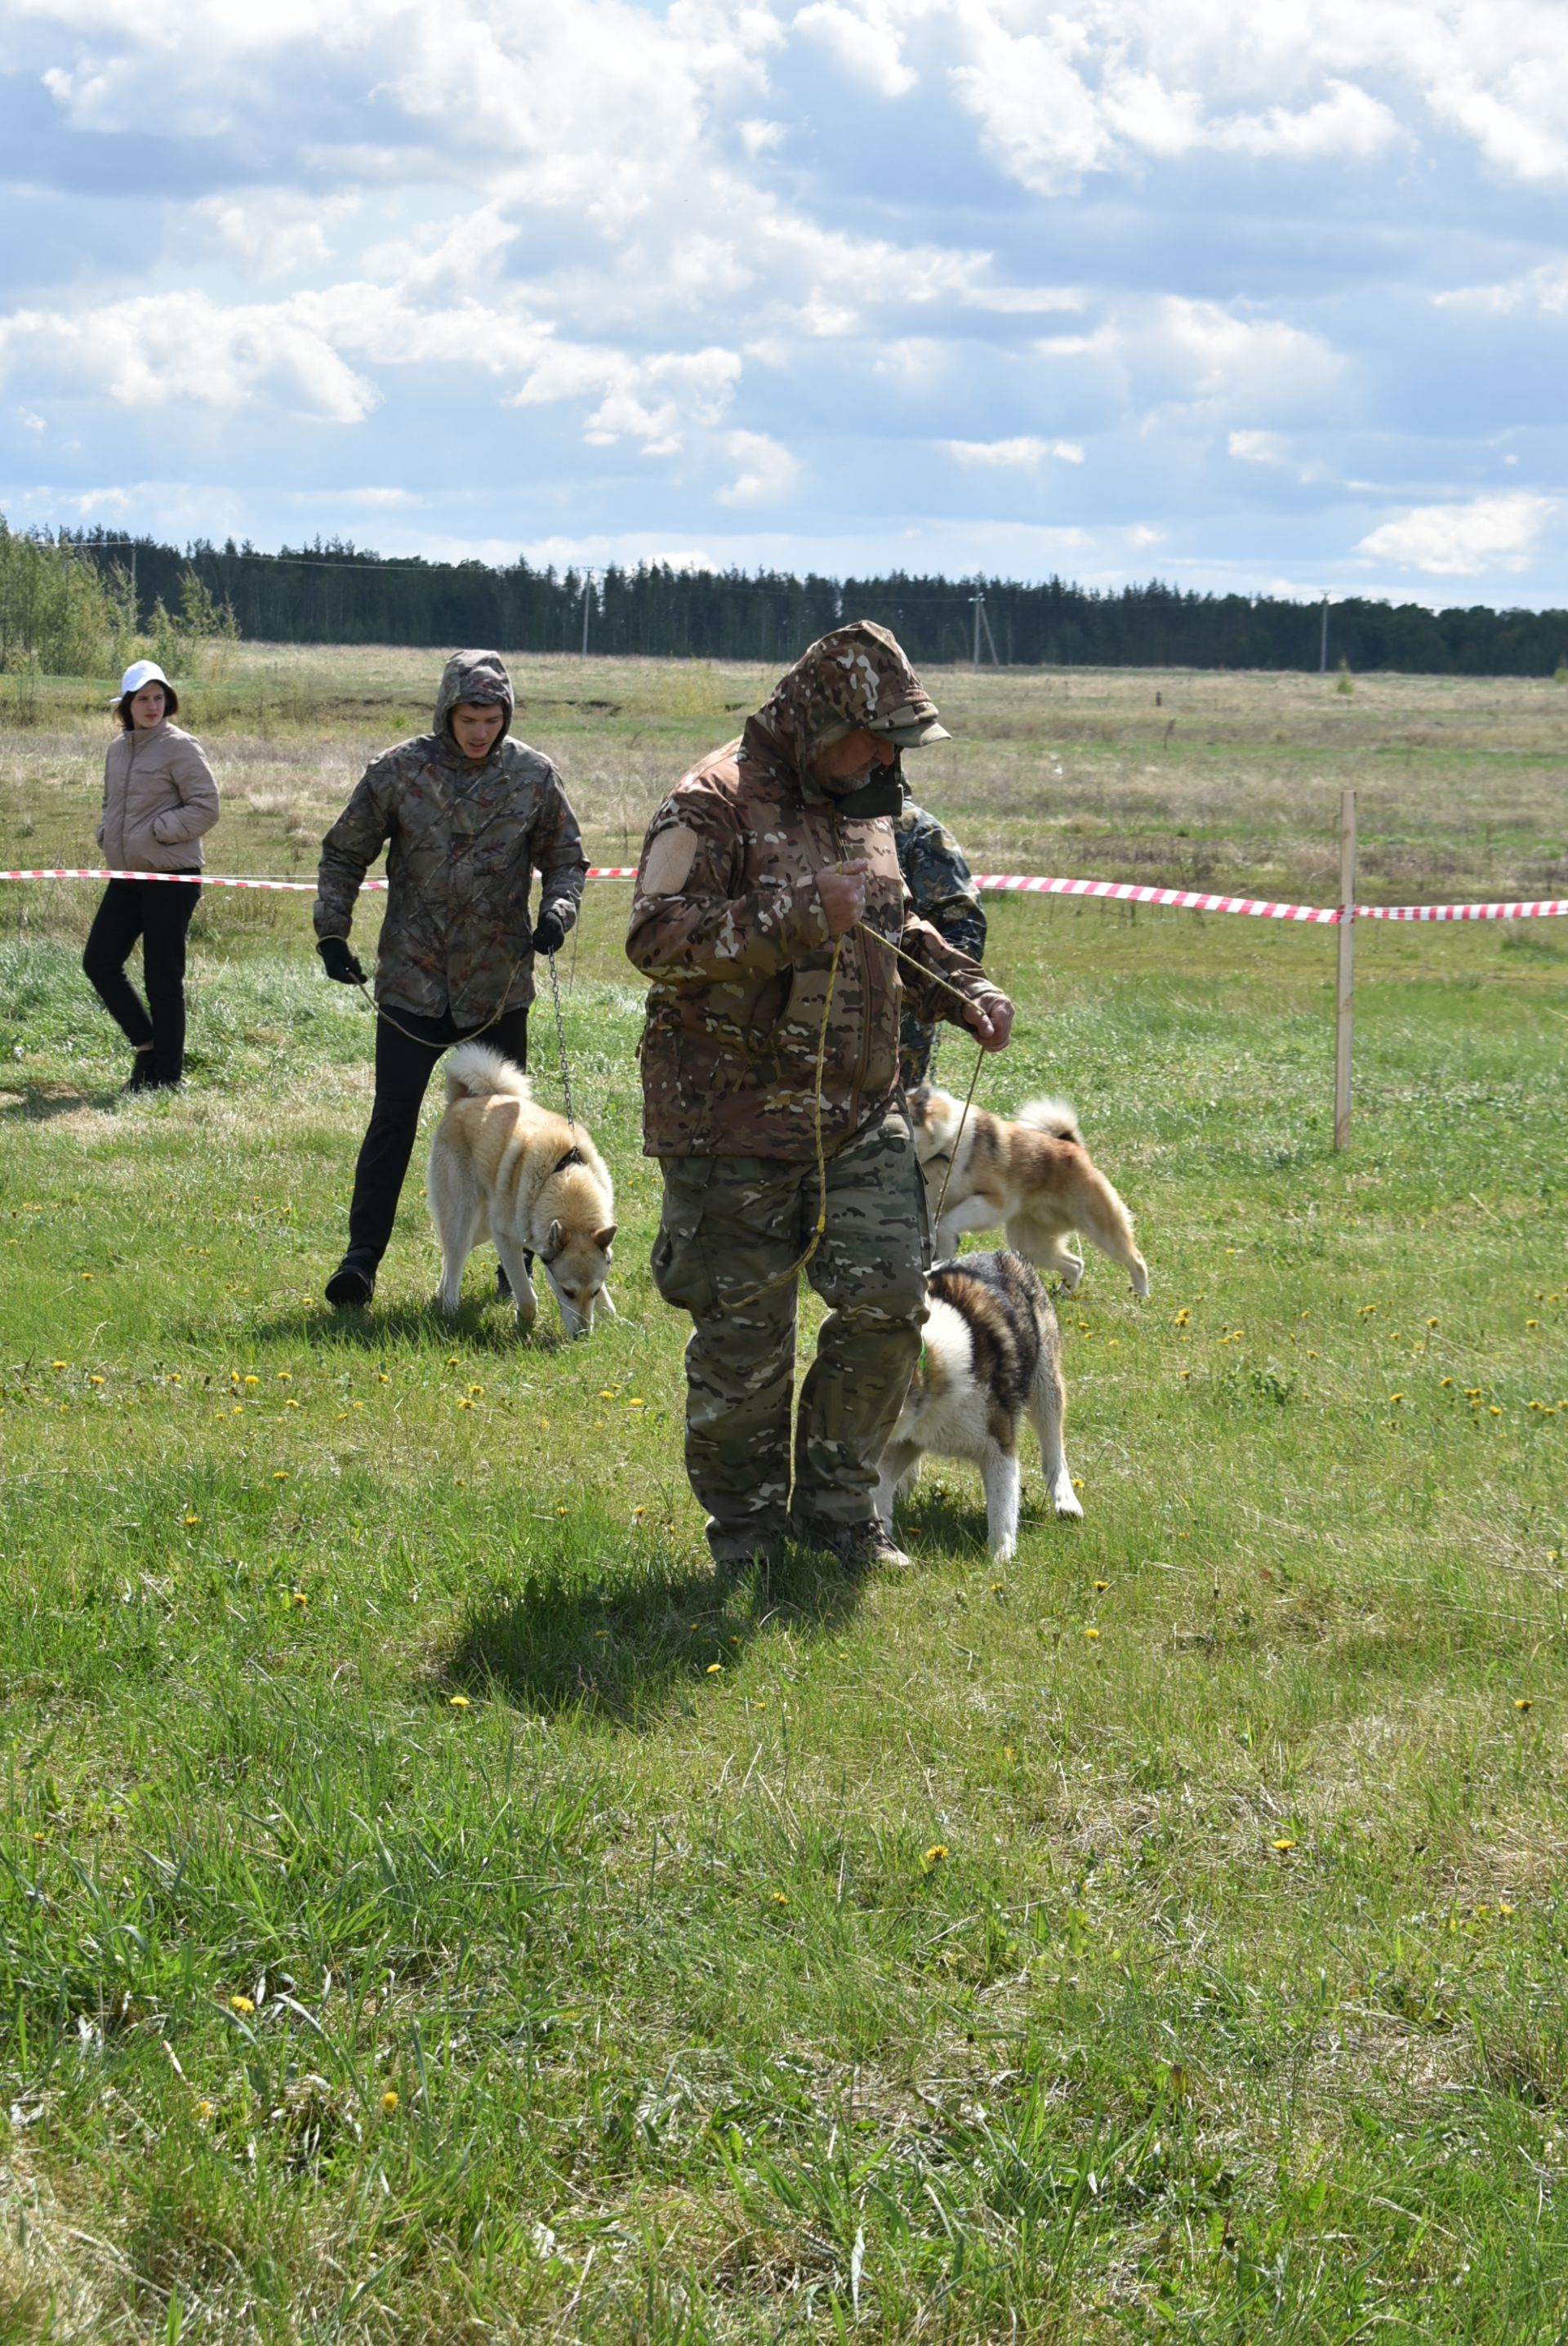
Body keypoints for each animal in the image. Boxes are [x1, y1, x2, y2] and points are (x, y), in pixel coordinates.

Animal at [433, 1046, 623, 1341]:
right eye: (567, 1292)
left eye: (593, 1291)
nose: (582, 1336)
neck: (563, 1176)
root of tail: (463, 1099)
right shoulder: (506, 1239)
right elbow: (525, 1294)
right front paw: (524, 1321)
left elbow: (607, 1302)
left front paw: (618, 1324)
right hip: (464, 1218)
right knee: (454, 1257)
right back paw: (449, 1310)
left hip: (480, 1229)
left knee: (449, 1256)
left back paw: (440, 1295)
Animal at [866, 1247, 1078, 1558]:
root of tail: (1002, 1253)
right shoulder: (902, 1440)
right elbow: (880, 1491)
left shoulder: (998, 1444)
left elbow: (1002, 1507)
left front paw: (1002, 1559)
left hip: (1045, 1384)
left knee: (1053, 1449)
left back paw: (1067, 1501)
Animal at [904, 1083, 1148, 1304]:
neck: (944, 1144)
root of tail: (1074, 1147)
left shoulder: (994, 1201)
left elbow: (946, 1225)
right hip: (1030, 1242)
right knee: (1075, 1264)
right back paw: (1064, 1293)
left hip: (1100, 1228)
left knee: (1136, 1259)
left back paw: (1141, 1296)